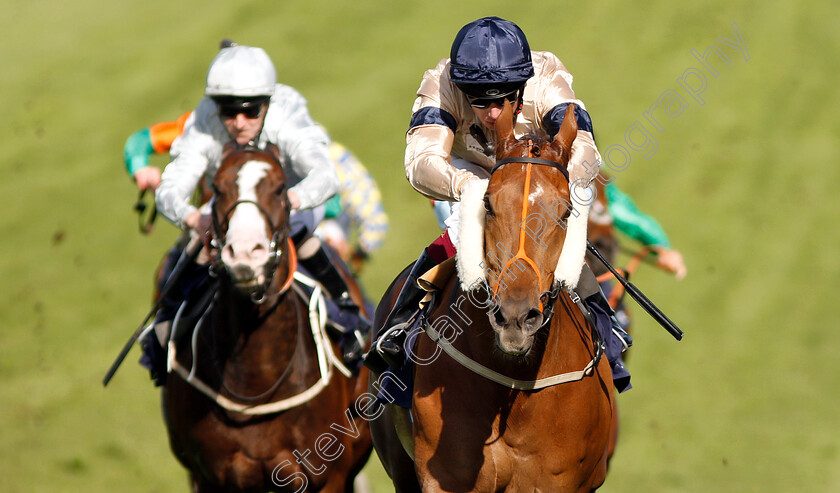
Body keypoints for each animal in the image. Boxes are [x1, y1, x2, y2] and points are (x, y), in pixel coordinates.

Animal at [163, 144, 370, 490]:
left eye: (280, 188)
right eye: (218, 189)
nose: (246, 253)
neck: (256, 378)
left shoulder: (328, 476)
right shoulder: (209, 477)